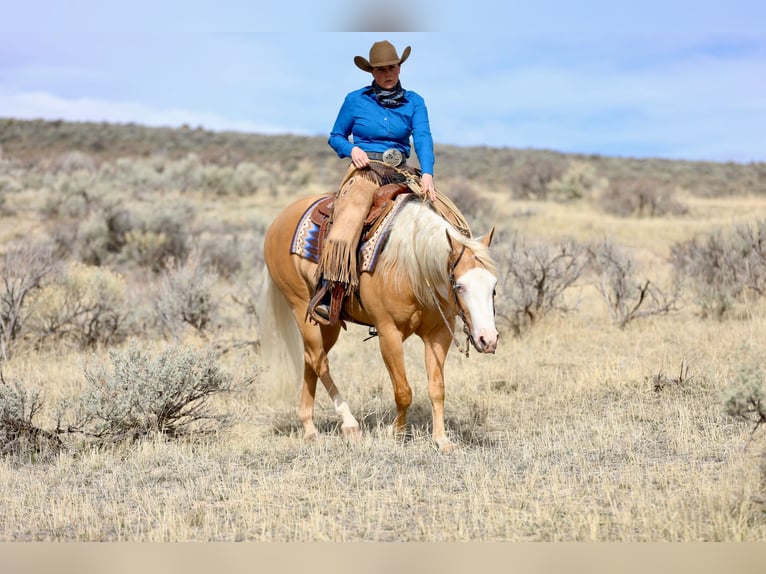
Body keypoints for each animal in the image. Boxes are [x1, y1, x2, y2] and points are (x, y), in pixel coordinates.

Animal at [259, 191, 498, 452]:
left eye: (494, 287)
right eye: (460, 286)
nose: (488, 340)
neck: (411, 266)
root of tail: (278, 222)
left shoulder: (438, 335)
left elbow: (437, 389)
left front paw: (441, 440)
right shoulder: (388, 334)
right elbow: (403, 391)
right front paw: (397, 432)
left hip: (328, 324)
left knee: (310, 360)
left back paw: (309, 427)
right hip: (301, 307)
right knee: (320, 362)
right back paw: (349, 423)